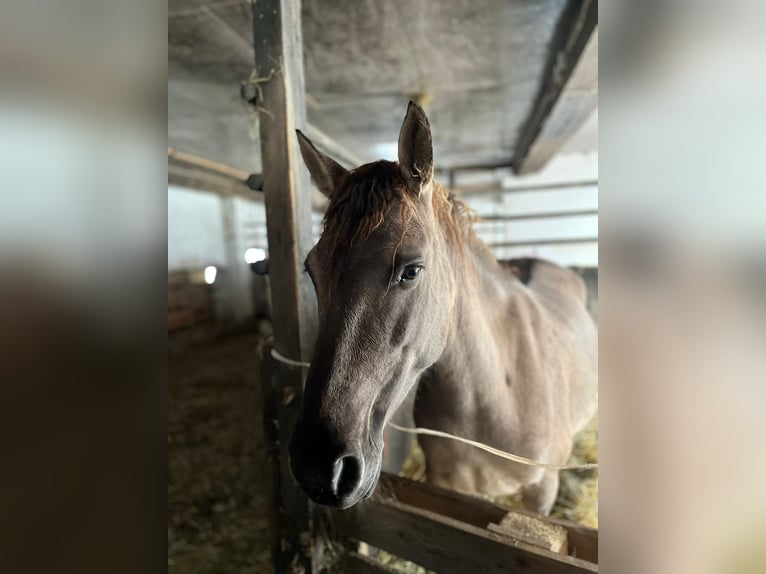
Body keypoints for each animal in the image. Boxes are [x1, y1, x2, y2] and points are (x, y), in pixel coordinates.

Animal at [288, 102, 600, 512]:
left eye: (411, 270)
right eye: (311, 269)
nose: (320, 468)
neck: (495, 396)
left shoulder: (542, 490)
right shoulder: (450, 485)